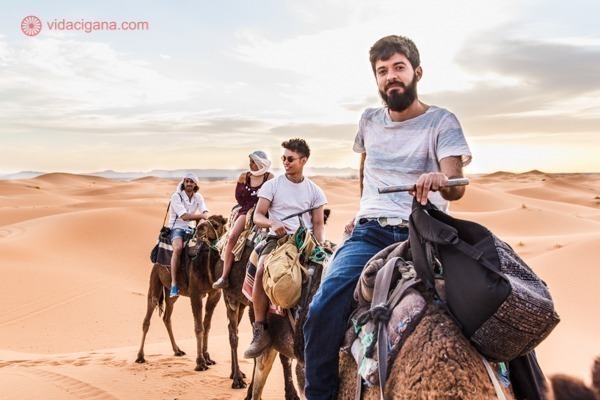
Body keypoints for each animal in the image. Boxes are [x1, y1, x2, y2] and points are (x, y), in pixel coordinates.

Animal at [135, 216, 227, 372]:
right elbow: (199, 327)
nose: (199, 228)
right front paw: (200, 362)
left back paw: (177, 350)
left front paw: (208, 358)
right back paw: (140, 357)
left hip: (172, 295)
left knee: (167, 317)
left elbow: (207, 326)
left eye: (215, 224)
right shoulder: (196, 293)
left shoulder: (215, 294)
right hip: (155, 280)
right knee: (147, 317)